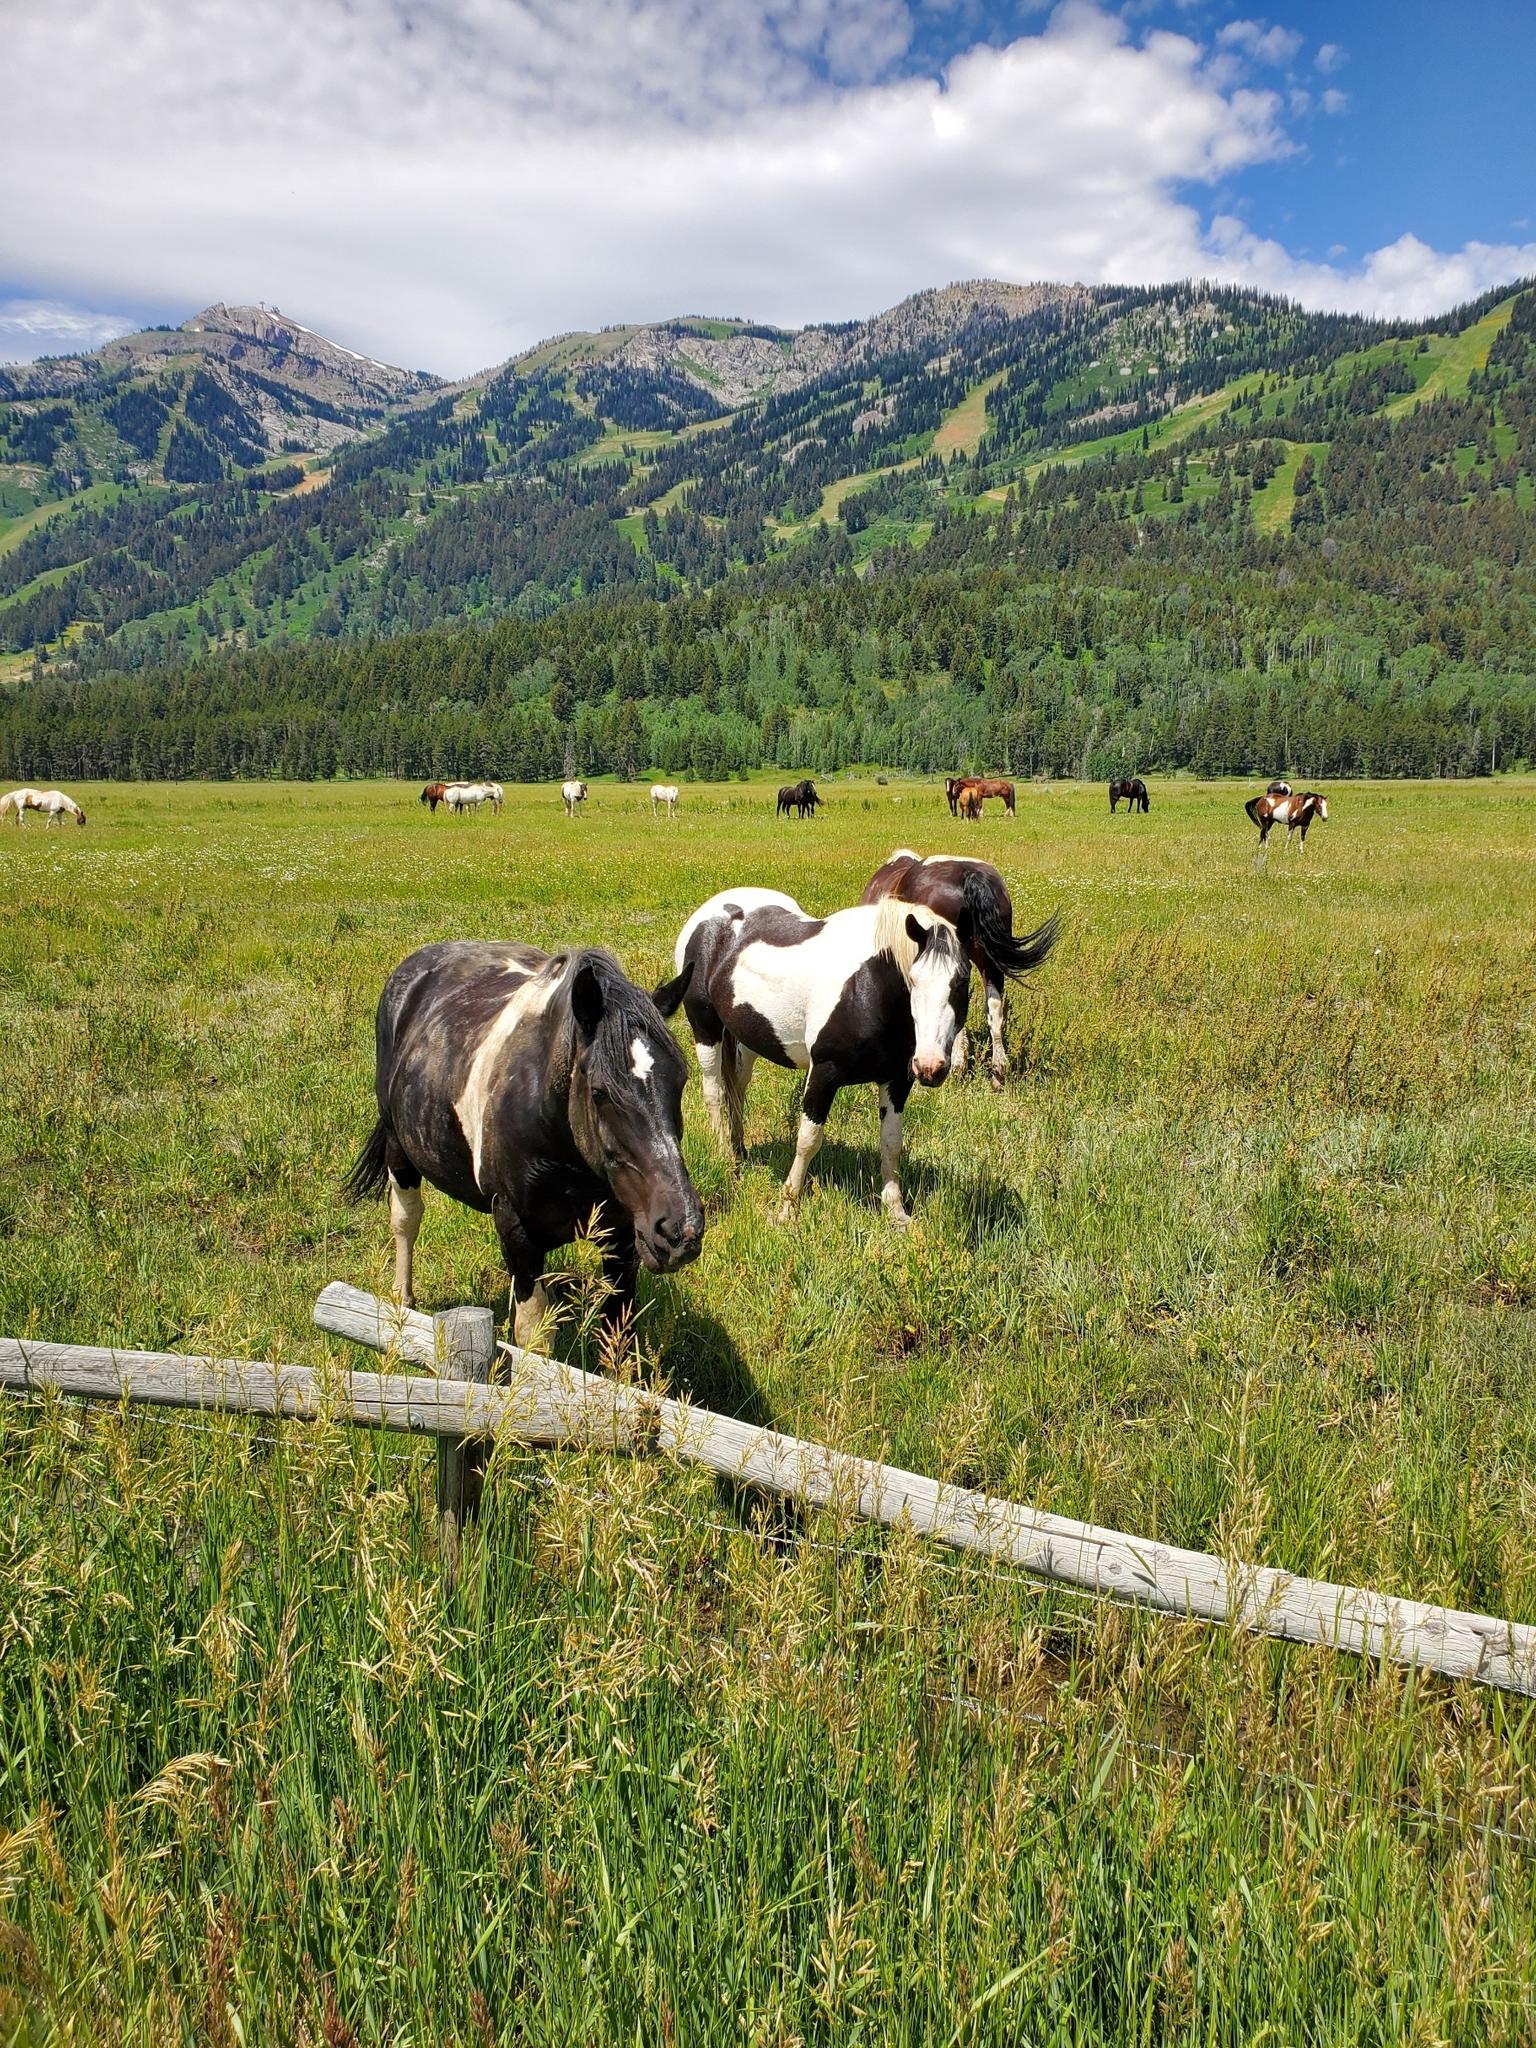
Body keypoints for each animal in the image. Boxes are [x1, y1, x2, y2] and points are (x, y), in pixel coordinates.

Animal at [345, 942, 702, 1349]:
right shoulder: (519, 1233)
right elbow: (534, 1342)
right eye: (599, 1092)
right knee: (406, 1219)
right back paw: (401, 1301)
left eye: (681, 1080)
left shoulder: (623, 1237)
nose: (679, 1231)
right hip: (398, 1147)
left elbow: (618, 1337)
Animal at [673, 886, 971, 1227]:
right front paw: (788, 1209)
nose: (930, 1067)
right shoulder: (823, 1075)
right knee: (715, 1093)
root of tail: (709, 913)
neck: (867, 986)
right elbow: (807, 1140)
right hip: (705, 1026)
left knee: (737, 1089)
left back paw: (740, 1153)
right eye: (914, 978)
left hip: (746, 1040)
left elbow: (891, 1143)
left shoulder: (897, 1080)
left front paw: (896, 1213)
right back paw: (725, 1157)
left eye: (962, 981)